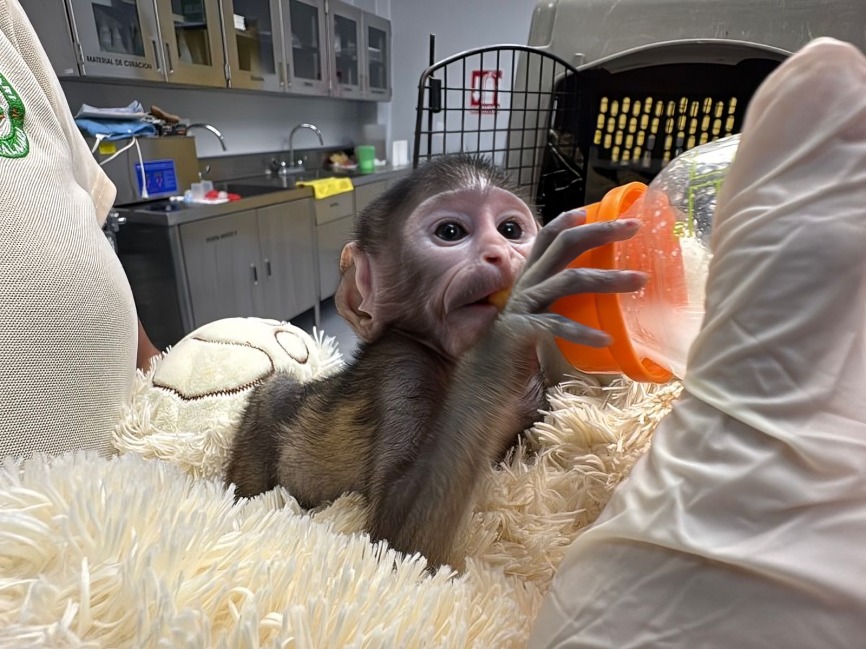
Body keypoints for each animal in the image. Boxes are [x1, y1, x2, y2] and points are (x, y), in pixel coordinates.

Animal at [226, 154, 645, 568]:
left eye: (510, 229)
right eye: (450, 232)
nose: (501, 253)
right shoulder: (401, 366)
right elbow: (397, 545)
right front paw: (513, 317)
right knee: (276, 393)